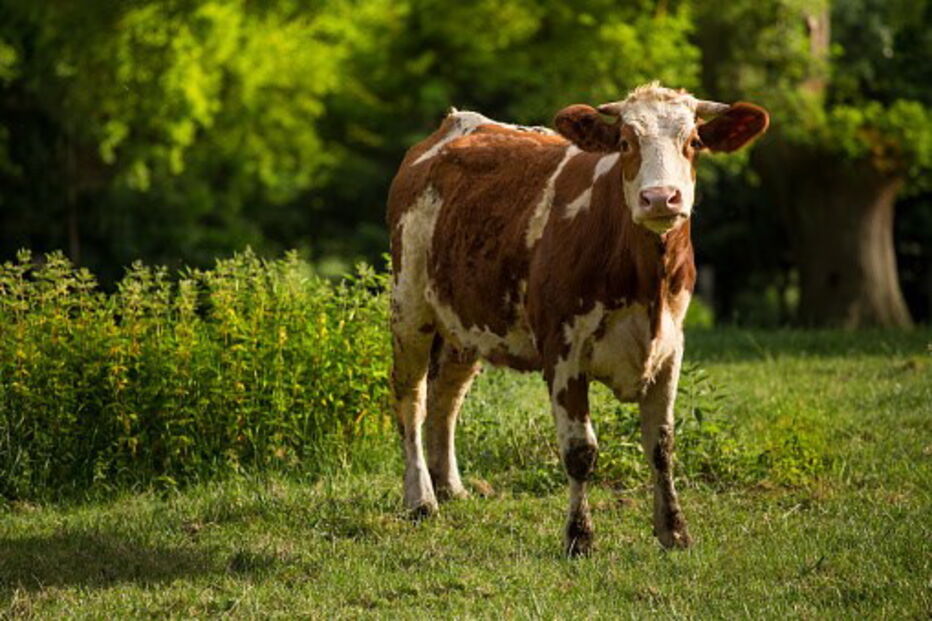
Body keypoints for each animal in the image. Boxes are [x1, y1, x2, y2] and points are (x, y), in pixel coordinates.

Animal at [386, 83, 769, 556]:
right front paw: (579, 537)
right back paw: (420, 498)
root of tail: (453, 126)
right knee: (412, 398)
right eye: (625, 142)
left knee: (446, 397)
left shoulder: (670, 348)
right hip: (409, 306)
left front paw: (674, 530)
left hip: (465, 319)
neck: (645, 280)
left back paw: (450, 487)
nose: (660, 198)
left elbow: (661, 445)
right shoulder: (562, 350)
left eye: (694, 141)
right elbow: (580, 451)